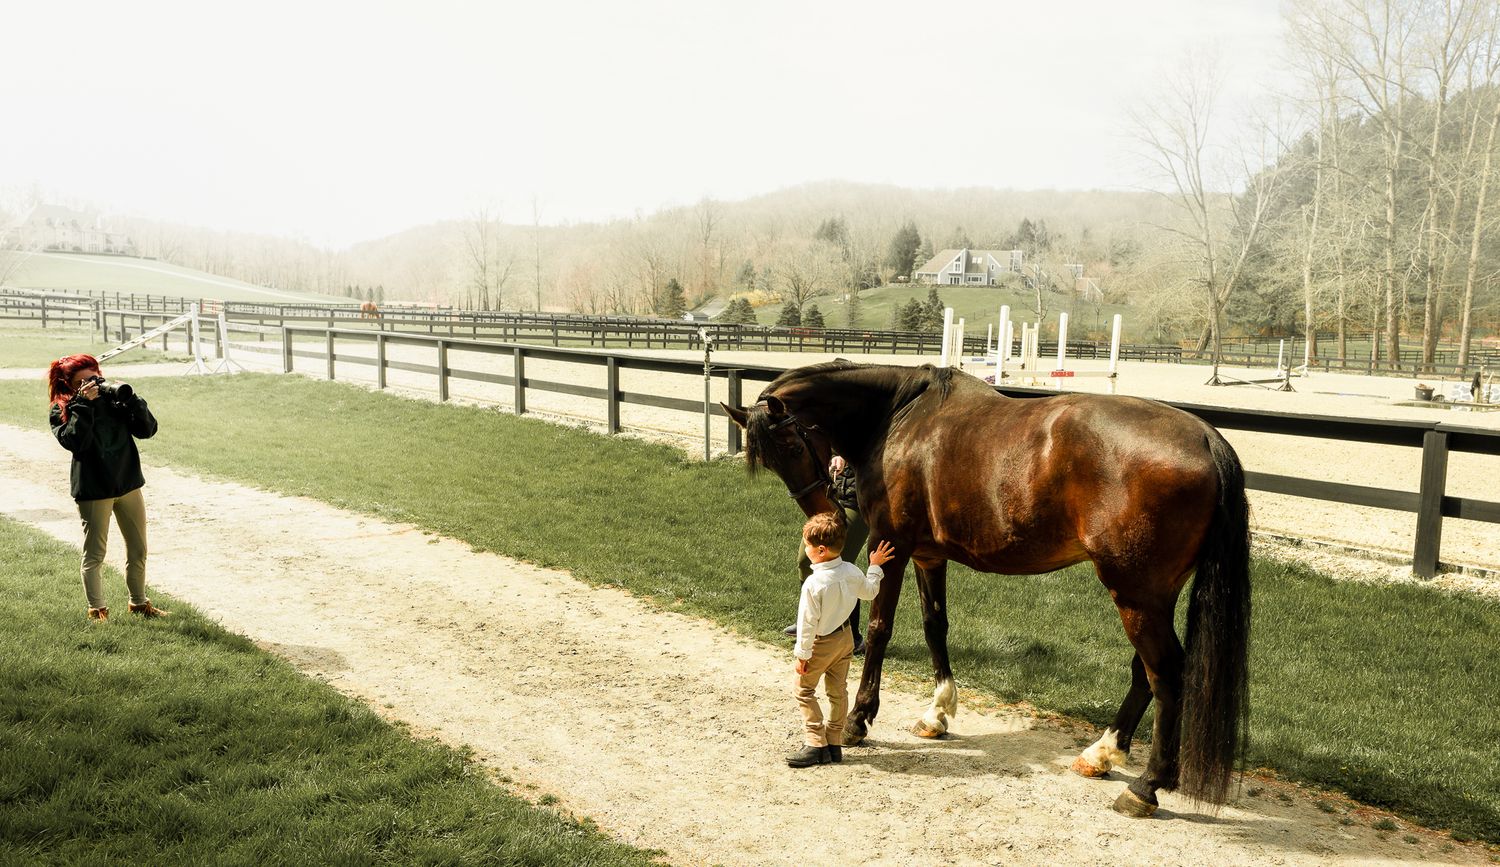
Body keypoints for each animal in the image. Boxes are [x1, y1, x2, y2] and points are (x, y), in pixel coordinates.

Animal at [723, 360, 1250, 817]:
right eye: (770, 460)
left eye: (793, 445)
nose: (826, 519)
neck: (897, 417)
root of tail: (1206, 437)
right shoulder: (929, 555)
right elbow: (935, 625)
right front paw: (937, 713)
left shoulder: (890, 545)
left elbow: (878, 629)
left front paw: (858, 718)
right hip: (1151, 595)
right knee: (1146, 672)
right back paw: (1102, 753)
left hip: (1135, 594)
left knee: (1165, 674)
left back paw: (1146, 785)